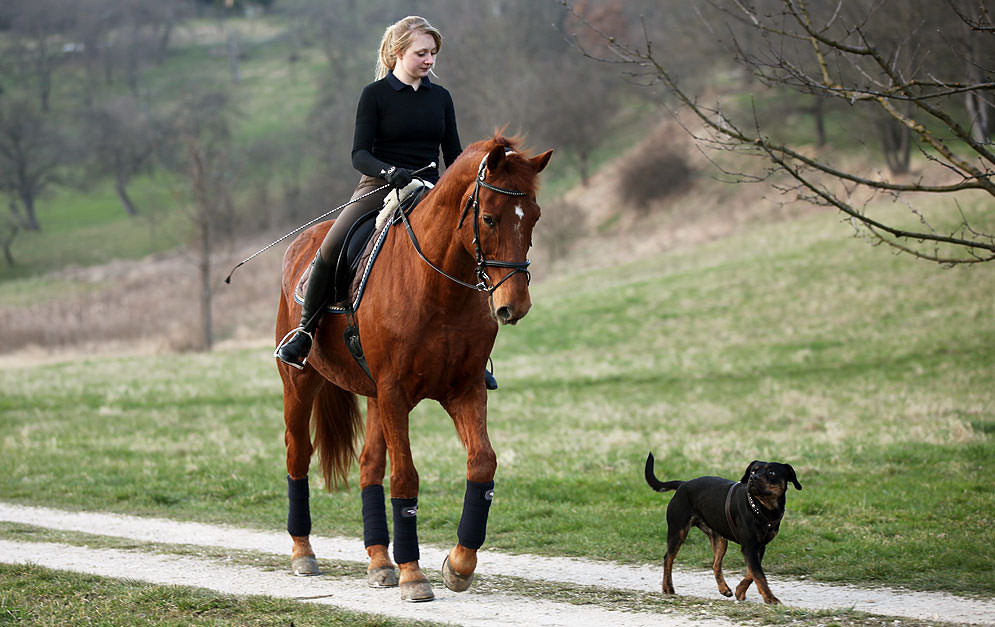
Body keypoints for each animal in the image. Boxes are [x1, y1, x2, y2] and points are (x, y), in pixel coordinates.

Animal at [274, 135, 552, 600]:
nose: (514, 305)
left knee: (369, 465)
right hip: (301, 383)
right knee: (299, 455)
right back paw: (303, 553)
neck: (439, 288)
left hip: (373, 397)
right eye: (490, 218)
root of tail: (301, 245)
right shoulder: (395, 393)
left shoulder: (464, 389)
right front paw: (413, 574)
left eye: (533, 217)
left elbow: (482, 463)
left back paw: (378, 562)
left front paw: (459, 564)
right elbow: (406, 477)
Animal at [644, 454, 800, 604]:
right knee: (668, 558)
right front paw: (770, 598)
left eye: (771, 473)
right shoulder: (749, 547)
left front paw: (740, 590)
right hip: (678, 531)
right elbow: (759, 575)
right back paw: (667, 588)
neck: (761, 508)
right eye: (753, 471)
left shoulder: (759, 547)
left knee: (715, 564)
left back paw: (724, 588)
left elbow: (752, 573)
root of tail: (683, 484)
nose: (752, 478)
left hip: (720, 539)